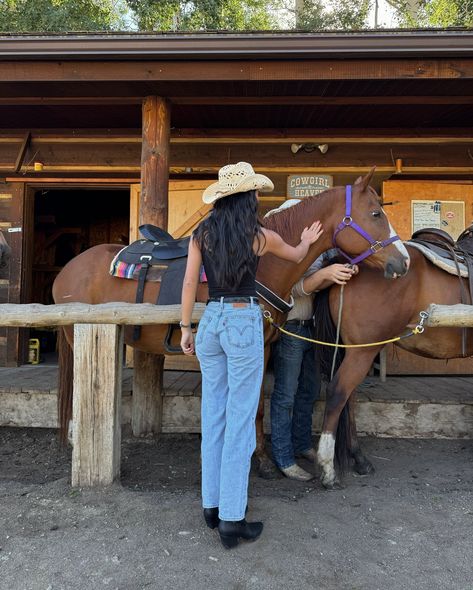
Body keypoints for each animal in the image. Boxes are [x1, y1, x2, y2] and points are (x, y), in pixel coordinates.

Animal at [52, 169, 410, 474]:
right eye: (376, 214)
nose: (403, 262)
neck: (260, 263)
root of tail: (68, 269)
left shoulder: (265, 346)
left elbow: (258, 406)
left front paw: (259, 457)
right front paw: (251, 460)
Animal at [312, 244, 470, 490]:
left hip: (355, 351)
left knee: (350, 397)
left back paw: (359, 459)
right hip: (361, 352)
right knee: (338, 394)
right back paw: (328, 470)